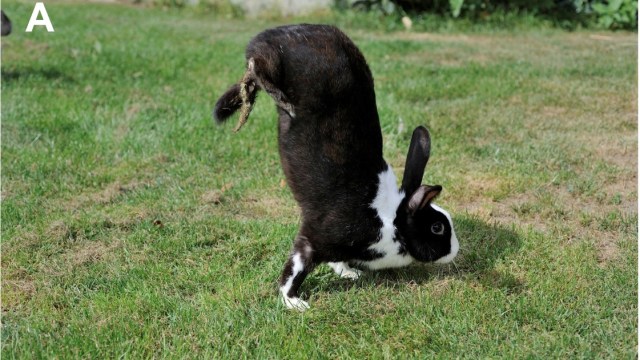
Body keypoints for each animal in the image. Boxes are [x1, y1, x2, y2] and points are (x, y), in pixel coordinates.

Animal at [212, 23, 458, 310]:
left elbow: (336, 261)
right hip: (274, 62)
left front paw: (349, 273)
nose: (455, 250)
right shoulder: (314, 239)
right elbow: (296, 269)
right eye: (437, 228)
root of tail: (276, 32)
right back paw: (278, 98)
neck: (391, 220)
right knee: (258, 67)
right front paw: (294, 302)